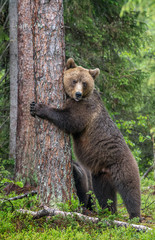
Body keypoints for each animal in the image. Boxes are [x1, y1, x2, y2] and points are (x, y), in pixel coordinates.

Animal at [29, 57, 141, 219]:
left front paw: (39, 107)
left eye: (85, 83)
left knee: (130, 189)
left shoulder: (86, 109)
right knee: (104, 194)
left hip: (123, 165)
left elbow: (70, 120)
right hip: (100, 175)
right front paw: (31, 107)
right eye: (74, 80)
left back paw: (134, 216)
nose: (78, 94)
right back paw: (108, 212)